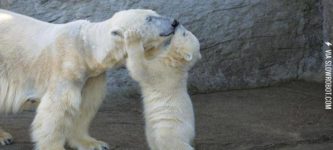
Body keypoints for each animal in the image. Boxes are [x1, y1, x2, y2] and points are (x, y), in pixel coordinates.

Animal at [0, 8, 179, 149]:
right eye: (149, 18)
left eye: (155, 13)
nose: (174, 22)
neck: (86, 49)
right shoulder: (66, 66)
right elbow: (57, 108)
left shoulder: (92, 74)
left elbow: (86, 104)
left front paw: (94, 143)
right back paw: (4, 136)